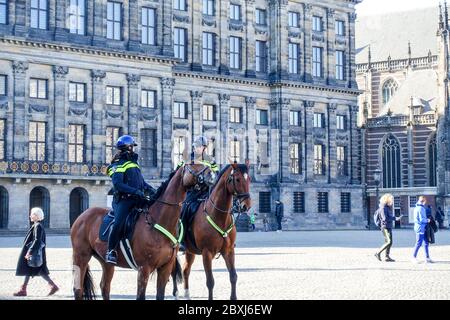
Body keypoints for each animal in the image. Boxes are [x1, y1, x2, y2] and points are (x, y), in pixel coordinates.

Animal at [70, 162, 211, 300]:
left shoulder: (165, 268)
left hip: (106, 263)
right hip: (81, 257)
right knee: (78, 290)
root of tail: (82, 216)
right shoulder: (144, 269)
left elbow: (160, 295)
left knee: (105, 287)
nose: (210, 173)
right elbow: (140, 296)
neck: (158, 220)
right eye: (193, 166)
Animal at [175, 162, 251, 300]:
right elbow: (210, 281)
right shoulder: (207, 253)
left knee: (185, 270)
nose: (246, 205)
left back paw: (186, 294)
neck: (219, 216)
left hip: (190, 251)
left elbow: (233, 276)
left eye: (249, 179)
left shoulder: (229, 251)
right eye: (237, 179)